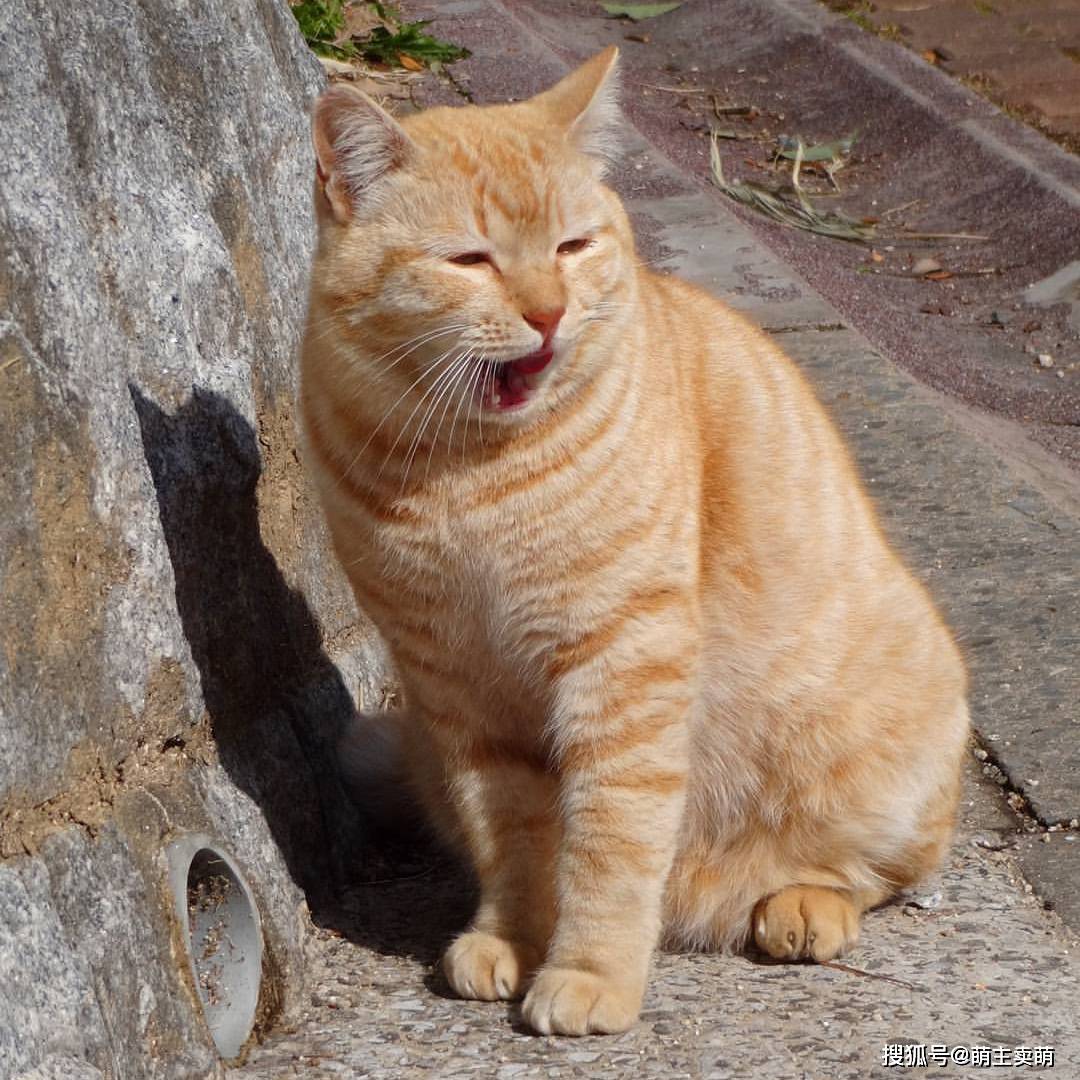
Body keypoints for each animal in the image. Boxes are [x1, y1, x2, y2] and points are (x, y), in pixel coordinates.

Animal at [298, 50, 972, 1036]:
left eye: (572, 247)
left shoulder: (623, 660)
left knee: (877, 874)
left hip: (889, 762)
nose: (548, 314)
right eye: (471, 260)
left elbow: (611, 841)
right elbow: (510, 834)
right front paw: (511, 936)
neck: (471, 479)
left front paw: (591, 972)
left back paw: (800, 904)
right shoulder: (455, 684)